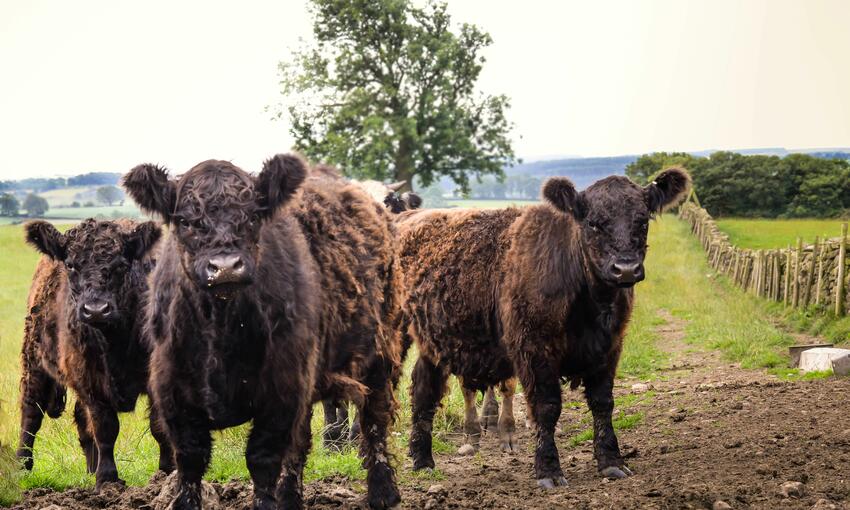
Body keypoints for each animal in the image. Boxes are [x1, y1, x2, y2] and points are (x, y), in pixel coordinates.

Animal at [17, 218, 169, 490]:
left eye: (121, 265)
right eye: (71, 264)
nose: (96, 310)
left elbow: (158, 426)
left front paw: (166, 473)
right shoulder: (91, 380)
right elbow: (105, 428)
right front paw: (107, 479)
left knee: (79, 417)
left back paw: (90, 468)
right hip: (33, 361)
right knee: (31, 412)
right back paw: (22, 467)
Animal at [123, 154, 402, 510]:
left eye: (253, 216)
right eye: (185, 220)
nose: (225, 267)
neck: (221, 329)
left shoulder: (281, 392)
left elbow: (262, 460)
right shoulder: (173, 394)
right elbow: (190, 461)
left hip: (379, 351)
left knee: (374, 419)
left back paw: (383, 491)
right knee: (301, 441)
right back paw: (290, 496)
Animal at [399, 169, 690, 488]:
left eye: (642, 220)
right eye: (593, 223)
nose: (625, 269)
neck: (591, 303)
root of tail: (407, 215)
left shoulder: (609, 347)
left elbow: (603, 403)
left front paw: (612, 462)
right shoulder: (534, 348)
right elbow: (546, 407)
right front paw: (549, 470)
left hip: (433, 342)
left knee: (424, 389)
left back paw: (423, 461)